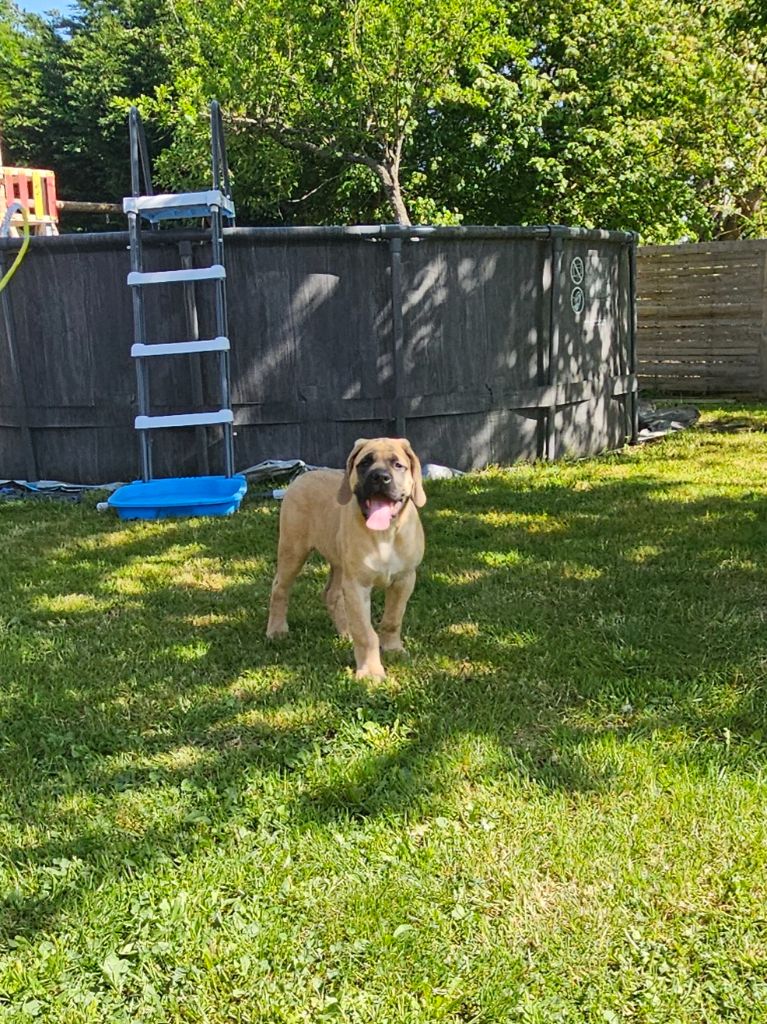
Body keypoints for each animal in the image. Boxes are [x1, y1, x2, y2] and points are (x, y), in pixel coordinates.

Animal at [266, 437, 426, 678]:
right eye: (364, 463)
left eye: (398, 465)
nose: (380, 477)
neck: (385, 533)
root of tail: (303, 476)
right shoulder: (357, 585)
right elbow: (365, 632)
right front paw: (370, 671)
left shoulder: (404, 579)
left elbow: (392, 619)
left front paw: (393, 649)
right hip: (293, 549)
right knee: (280, 588)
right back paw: (276, 630)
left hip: (339, 563)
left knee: (331, 595)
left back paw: (345, 632)